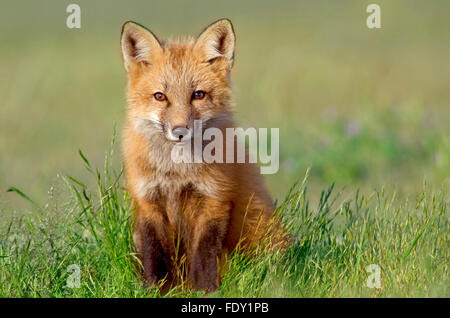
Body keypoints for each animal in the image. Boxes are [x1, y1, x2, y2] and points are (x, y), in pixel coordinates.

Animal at [121, 18, 286, 292]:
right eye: (160, 96)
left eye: (198, 95)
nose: (180, 131)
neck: (177, 172)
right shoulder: (148, 201)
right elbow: (154, 254)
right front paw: (156, 289)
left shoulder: (214, 199)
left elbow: (204, 253)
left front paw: (205, 290)